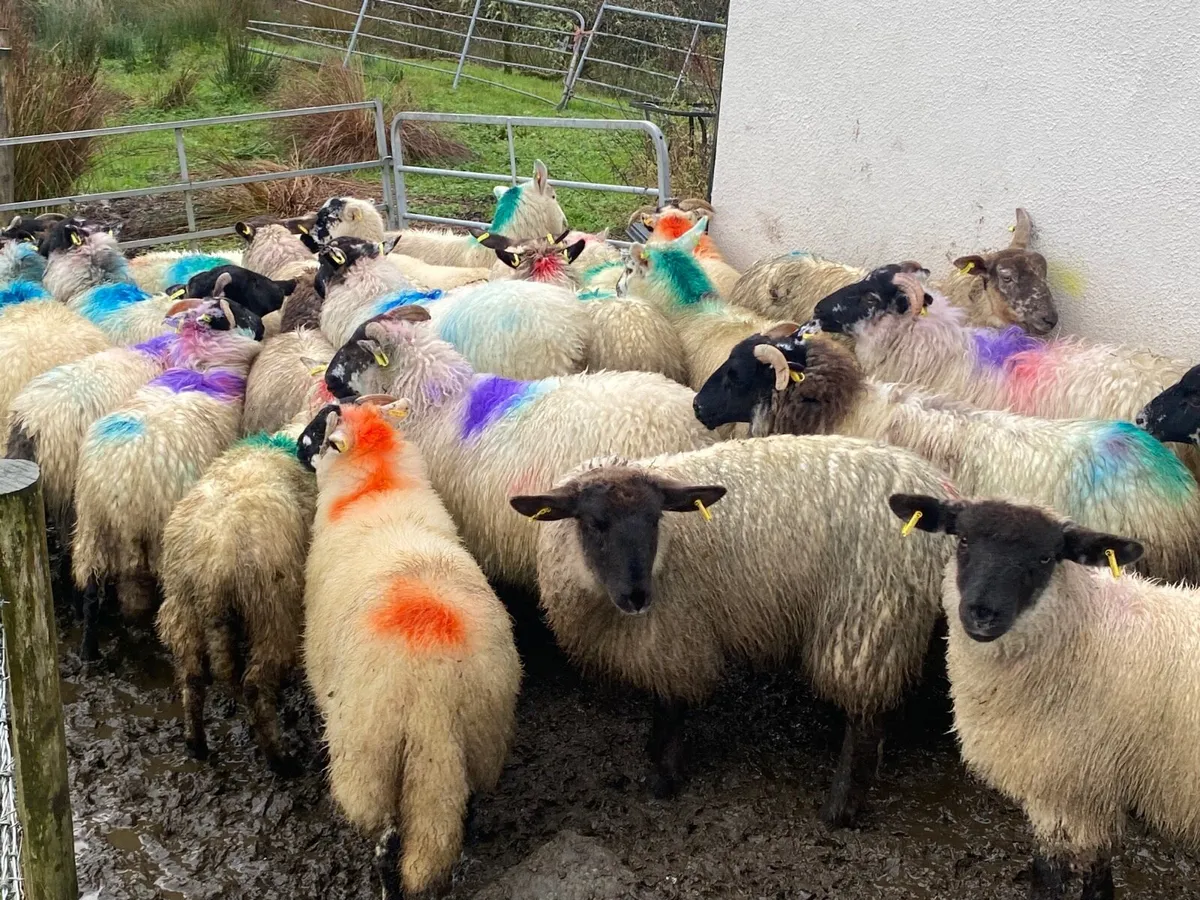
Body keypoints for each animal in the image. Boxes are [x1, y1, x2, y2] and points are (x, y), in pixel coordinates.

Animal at [72, 300, 264, 660]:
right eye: (241, 312)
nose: (263, 323)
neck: (204, 366)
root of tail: (114, 490)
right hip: (156, 532)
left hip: (91, 533)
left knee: (91, 594)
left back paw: (89, 651)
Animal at [301, 398, 520, 898]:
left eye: (320, 436)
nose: (300, 453)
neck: (380, 486)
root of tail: (430, 696)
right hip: (476, 742)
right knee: (460, 818)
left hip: (369, 759)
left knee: (387, 844)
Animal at [511, 435, 954, 824]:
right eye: (595, 523)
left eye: (655, 518)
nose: (637, 597)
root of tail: (939, 490)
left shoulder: (675, 636)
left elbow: (670, 707)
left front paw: (663, 777)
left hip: (865, 615)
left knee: (863, 720)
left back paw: (839, 809)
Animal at [887, 493, 1198, 900]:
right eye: (964, 540)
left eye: (1046, 558)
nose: (983, 614)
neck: (1085, 632)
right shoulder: (1092, 792)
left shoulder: (1070, 790)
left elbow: (1052, 875)